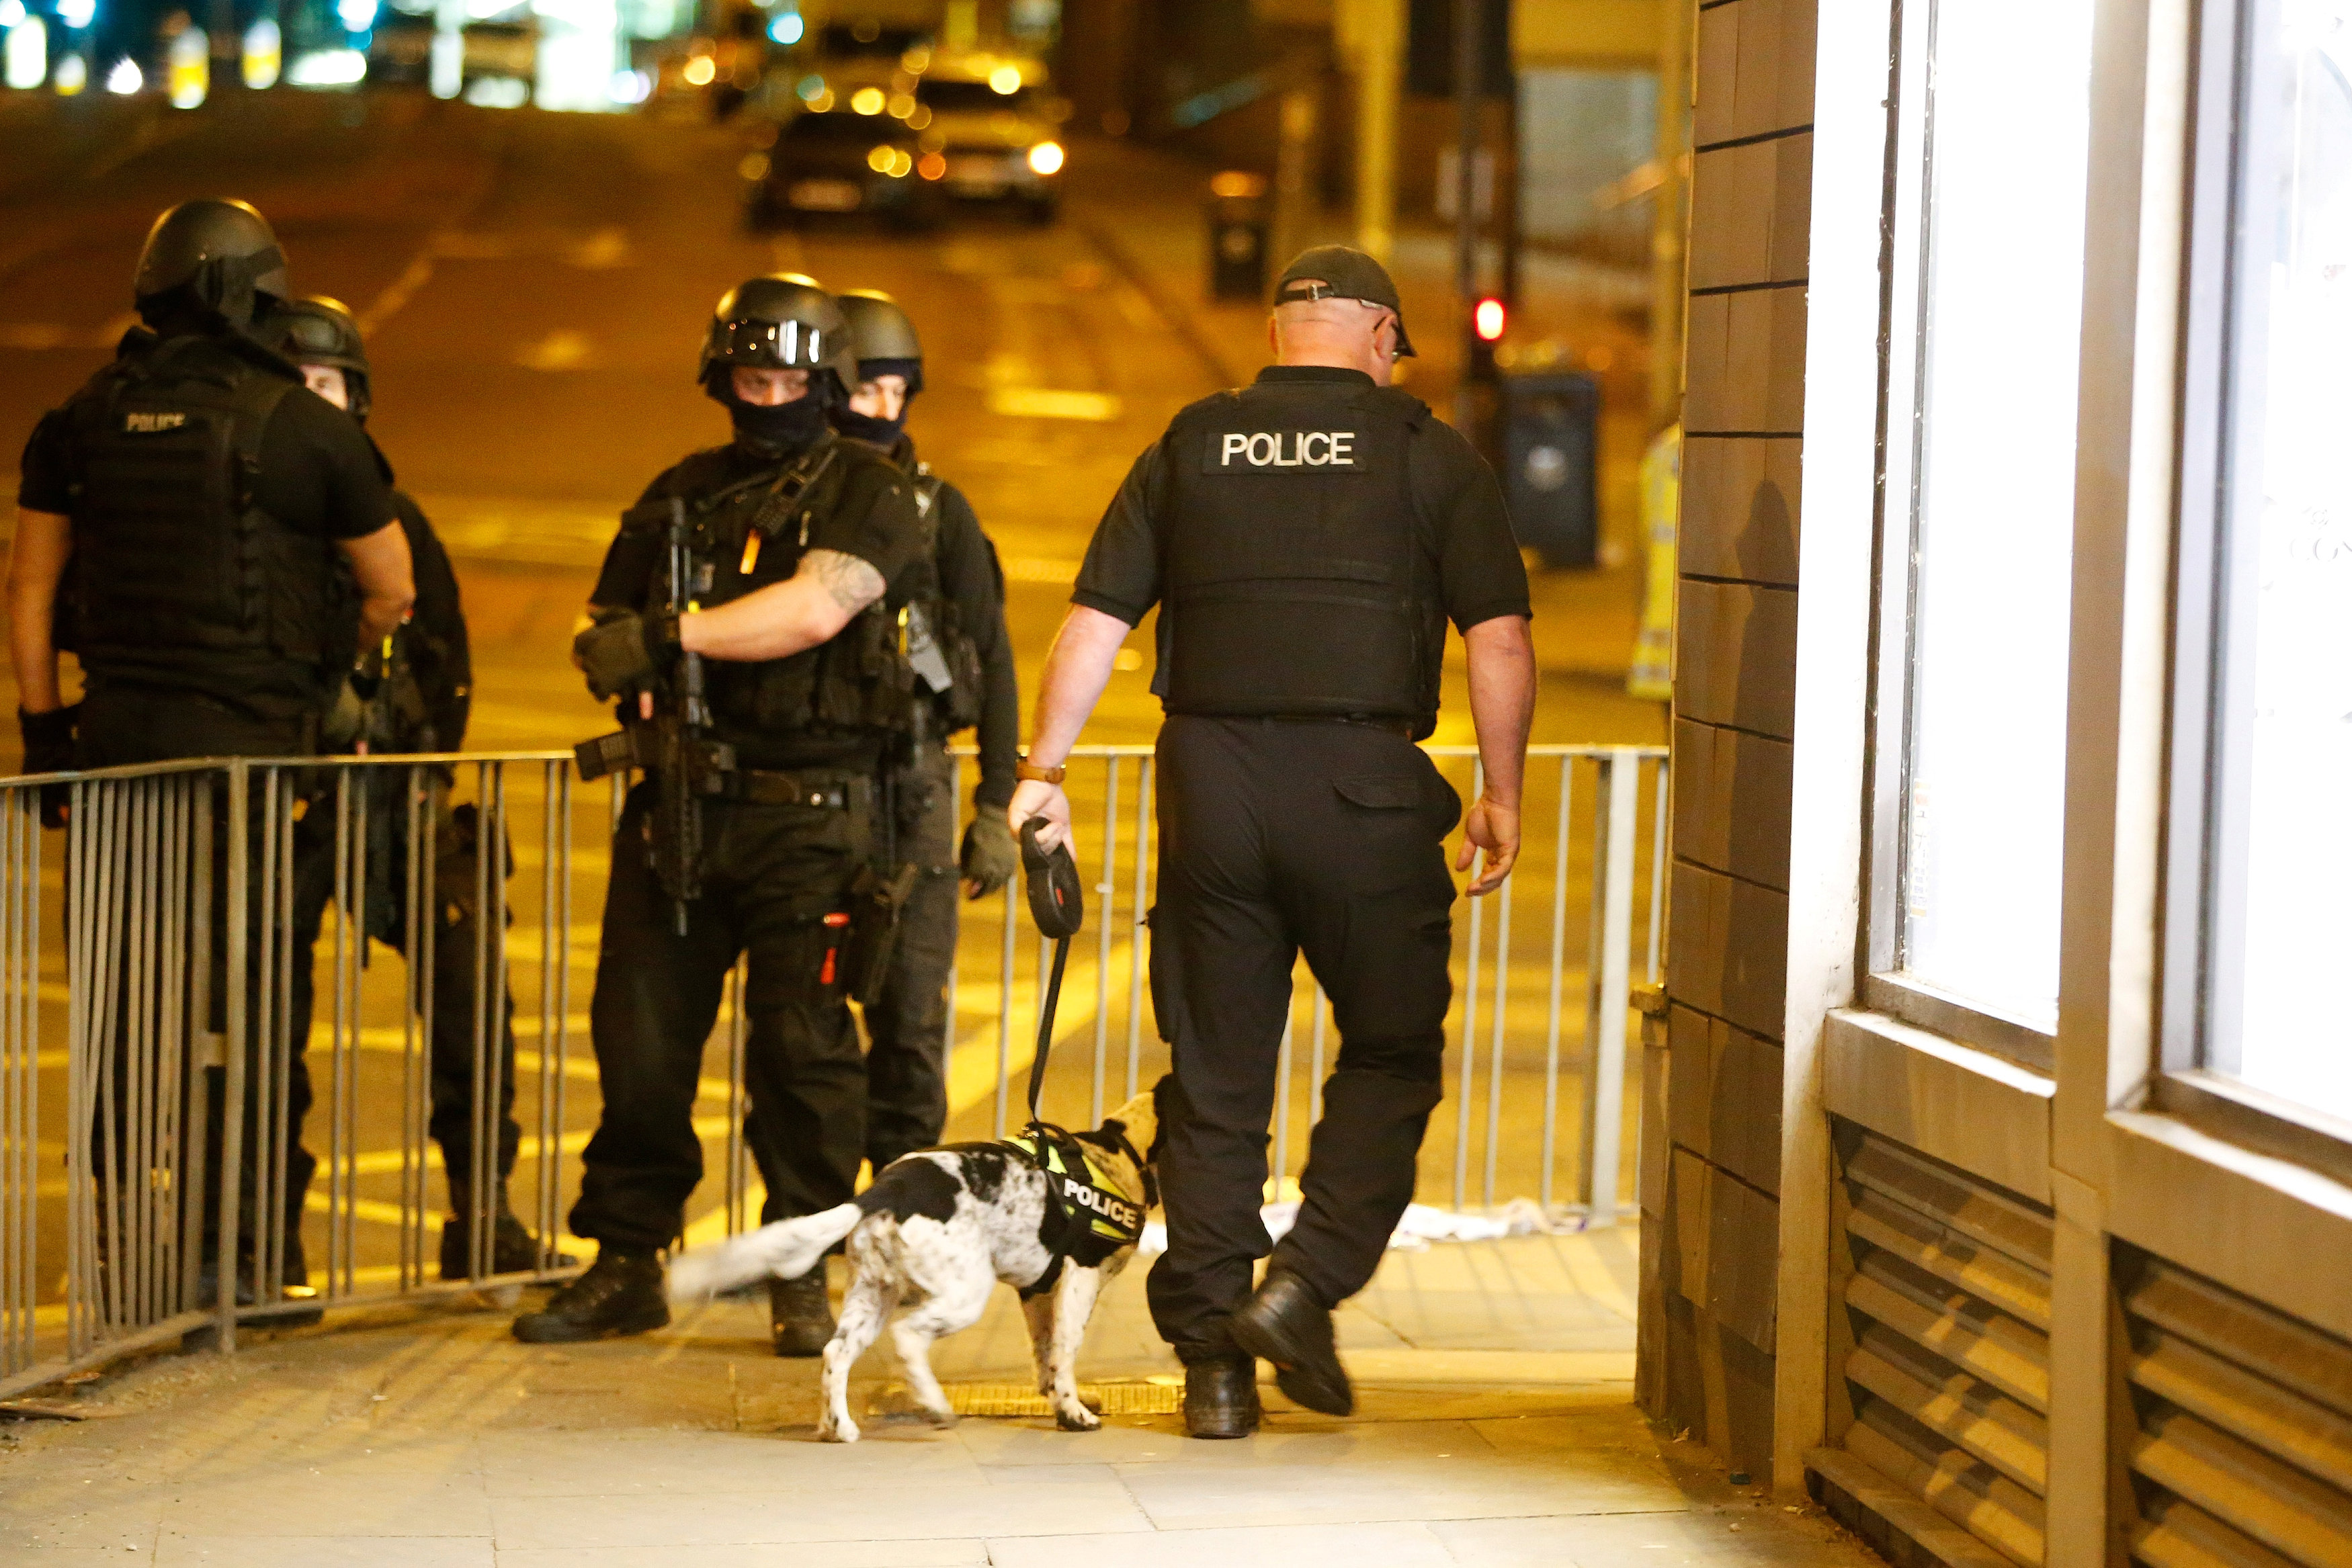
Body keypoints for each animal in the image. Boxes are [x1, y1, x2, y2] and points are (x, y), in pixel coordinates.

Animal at [663, 1086, 1157, 1438]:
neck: (1121, 1152)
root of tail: (888, 1187)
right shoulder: (1081, 1277)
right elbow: (1065, 1351)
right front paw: (1073, 1412)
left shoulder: (1036, 1289)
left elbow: (1045, 1354)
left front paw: (1055, 1401)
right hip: (964, 1294)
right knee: (908, 1337)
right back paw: (934, 1405)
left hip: (874, 1293)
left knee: (836, 1352)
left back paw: (838, 1427)